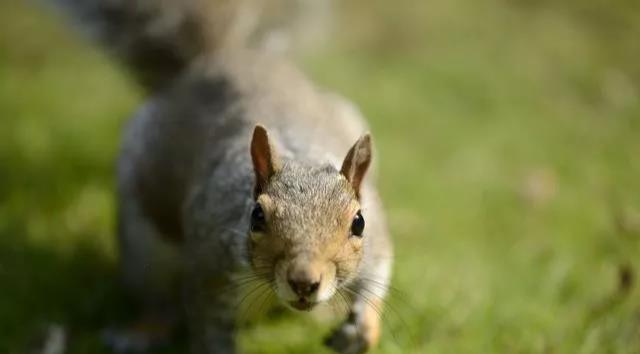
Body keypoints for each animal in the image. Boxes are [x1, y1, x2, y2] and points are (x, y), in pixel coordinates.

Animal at [50, 0, 392, 354]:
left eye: (358, 223)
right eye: (256, 217)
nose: (304, 282)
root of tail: (220, 58)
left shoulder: (377, 239)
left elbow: (378, 275)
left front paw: (361, 330)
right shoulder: (209, 271)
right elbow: (207, 328)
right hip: (143, 245)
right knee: (158, 300)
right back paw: (142, 331)